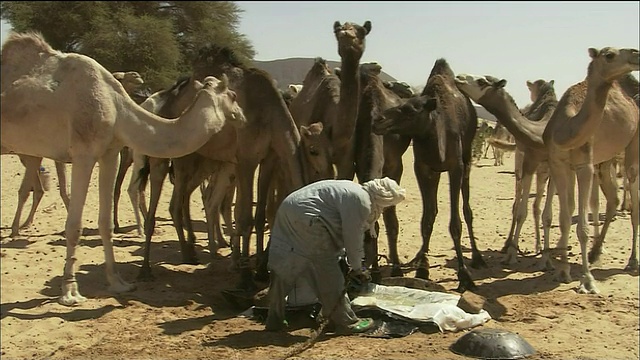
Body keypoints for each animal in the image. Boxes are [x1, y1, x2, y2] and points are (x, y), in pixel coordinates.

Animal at [1, 31, 246, 306]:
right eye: (233, 96)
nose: (243, 116)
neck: (116, 105)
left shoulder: (110, 154)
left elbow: (105, 222)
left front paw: (117, 282)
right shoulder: (84, 153)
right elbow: (74, 226)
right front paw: (70, 291)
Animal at [370, 57, 484, 292]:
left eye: (410, 110)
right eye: (400, 104)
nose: (377, 120)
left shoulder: (455, 166)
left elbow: (455, 223)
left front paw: (464, 275)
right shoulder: (423, 168)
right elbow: (427, 219)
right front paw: (422, 269)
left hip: (467, 157)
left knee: (467, 208)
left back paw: (478, 258)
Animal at [458, 45, 640, 294]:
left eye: (482, 81)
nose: (458, 77)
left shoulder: (564, 166)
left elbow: (550, 214)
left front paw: (558, 265)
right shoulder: (536, 162)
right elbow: (529, 211)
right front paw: (521, 256)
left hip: (626, 152)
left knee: (622, 199)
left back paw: (628, 260)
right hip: (596, 162)